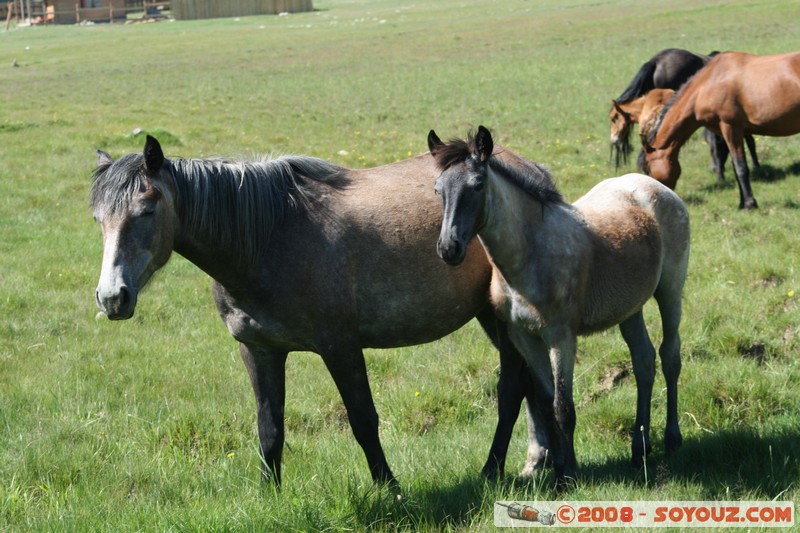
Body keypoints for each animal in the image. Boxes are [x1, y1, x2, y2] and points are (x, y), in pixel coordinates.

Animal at [428, 127, 692, 484]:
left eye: (478, 185)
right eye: (438, 189)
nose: (449, 248)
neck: (529, 256)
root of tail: (656, 187)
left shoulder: (560, 336)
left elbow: (563, 406)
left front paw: (570, 475)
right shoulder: (524, 337)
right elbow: (545, 400)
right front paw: (560, 468)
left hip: (670, 290)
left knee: (669, 357)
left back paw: (672, 438)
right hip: (630, 308)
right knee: (644, 362)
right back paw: (640, 448)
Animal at [644, 49, 800, 208]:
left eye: (648, 169)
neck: (707, 85)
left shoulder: (731, 128)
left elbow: (740, 166)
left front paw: (750, 203)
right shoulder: (725, 132)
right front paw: (742, 203)